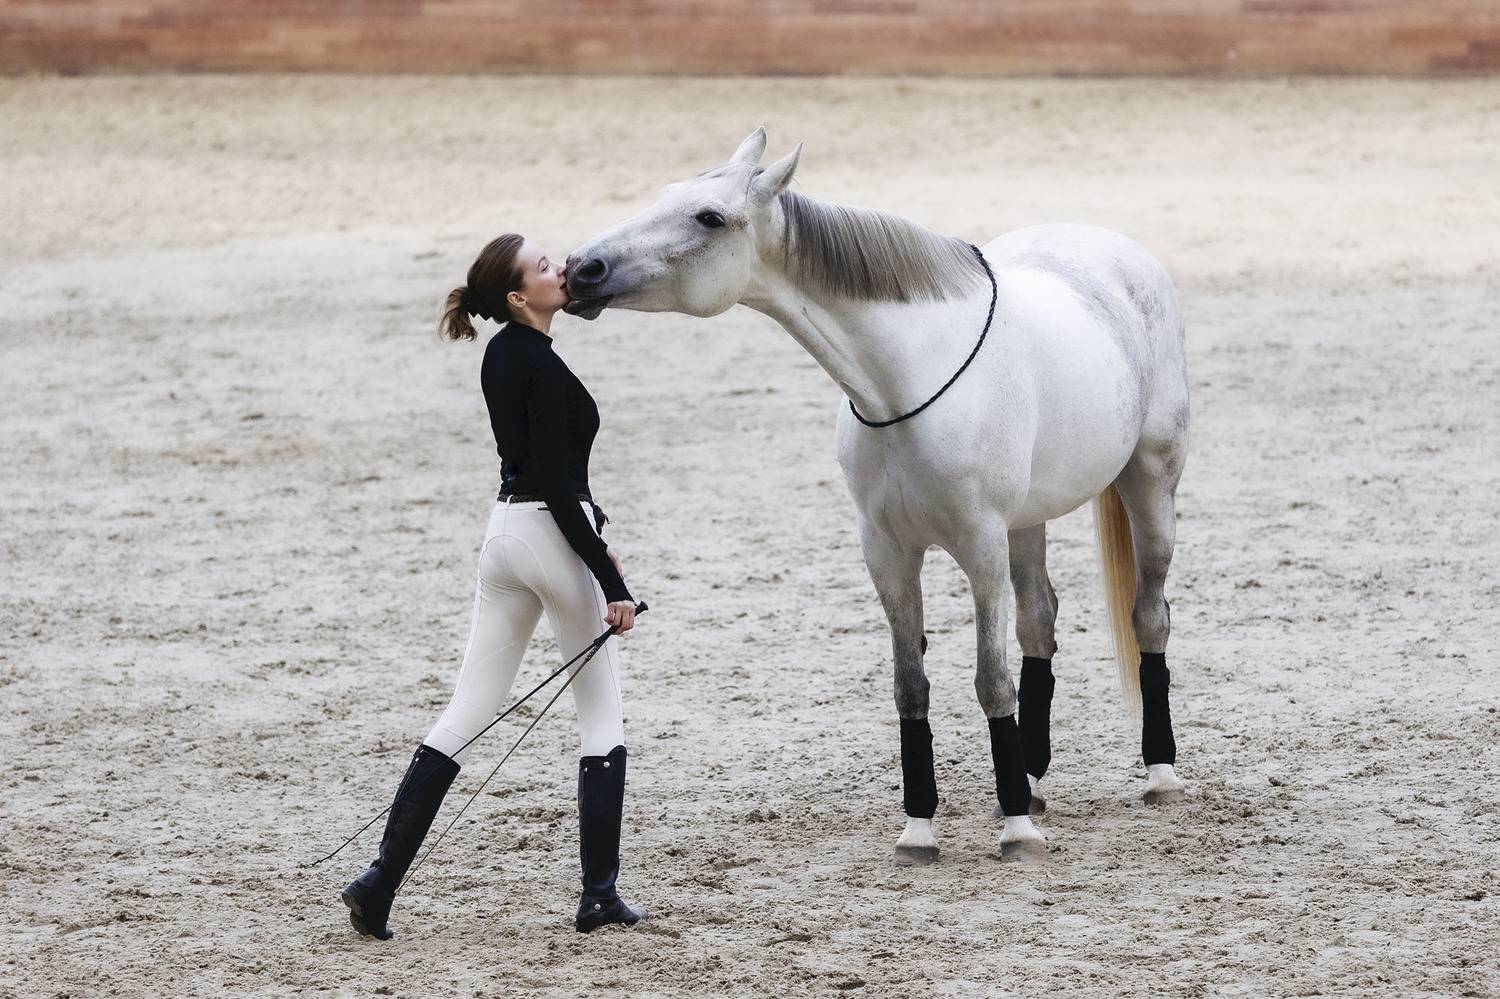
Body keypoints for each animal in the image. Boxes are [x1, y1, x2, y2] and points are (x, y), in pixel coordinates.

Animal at [563, 128, 1188, 861]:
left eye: (710, 216)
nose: (580, 269)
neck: (908, 376)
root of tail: (1118, 252)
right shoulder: (887, 552)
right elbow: (909, 684)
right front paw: (920, 828)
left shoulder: (980, 547)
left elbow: (990, 679)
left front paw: (1015, 829)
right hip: (1026, 523)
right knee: (1040, 620)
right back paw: (1031, 779)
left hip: (1149, 480)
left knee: (1149, 614)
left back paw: (1159, 773)